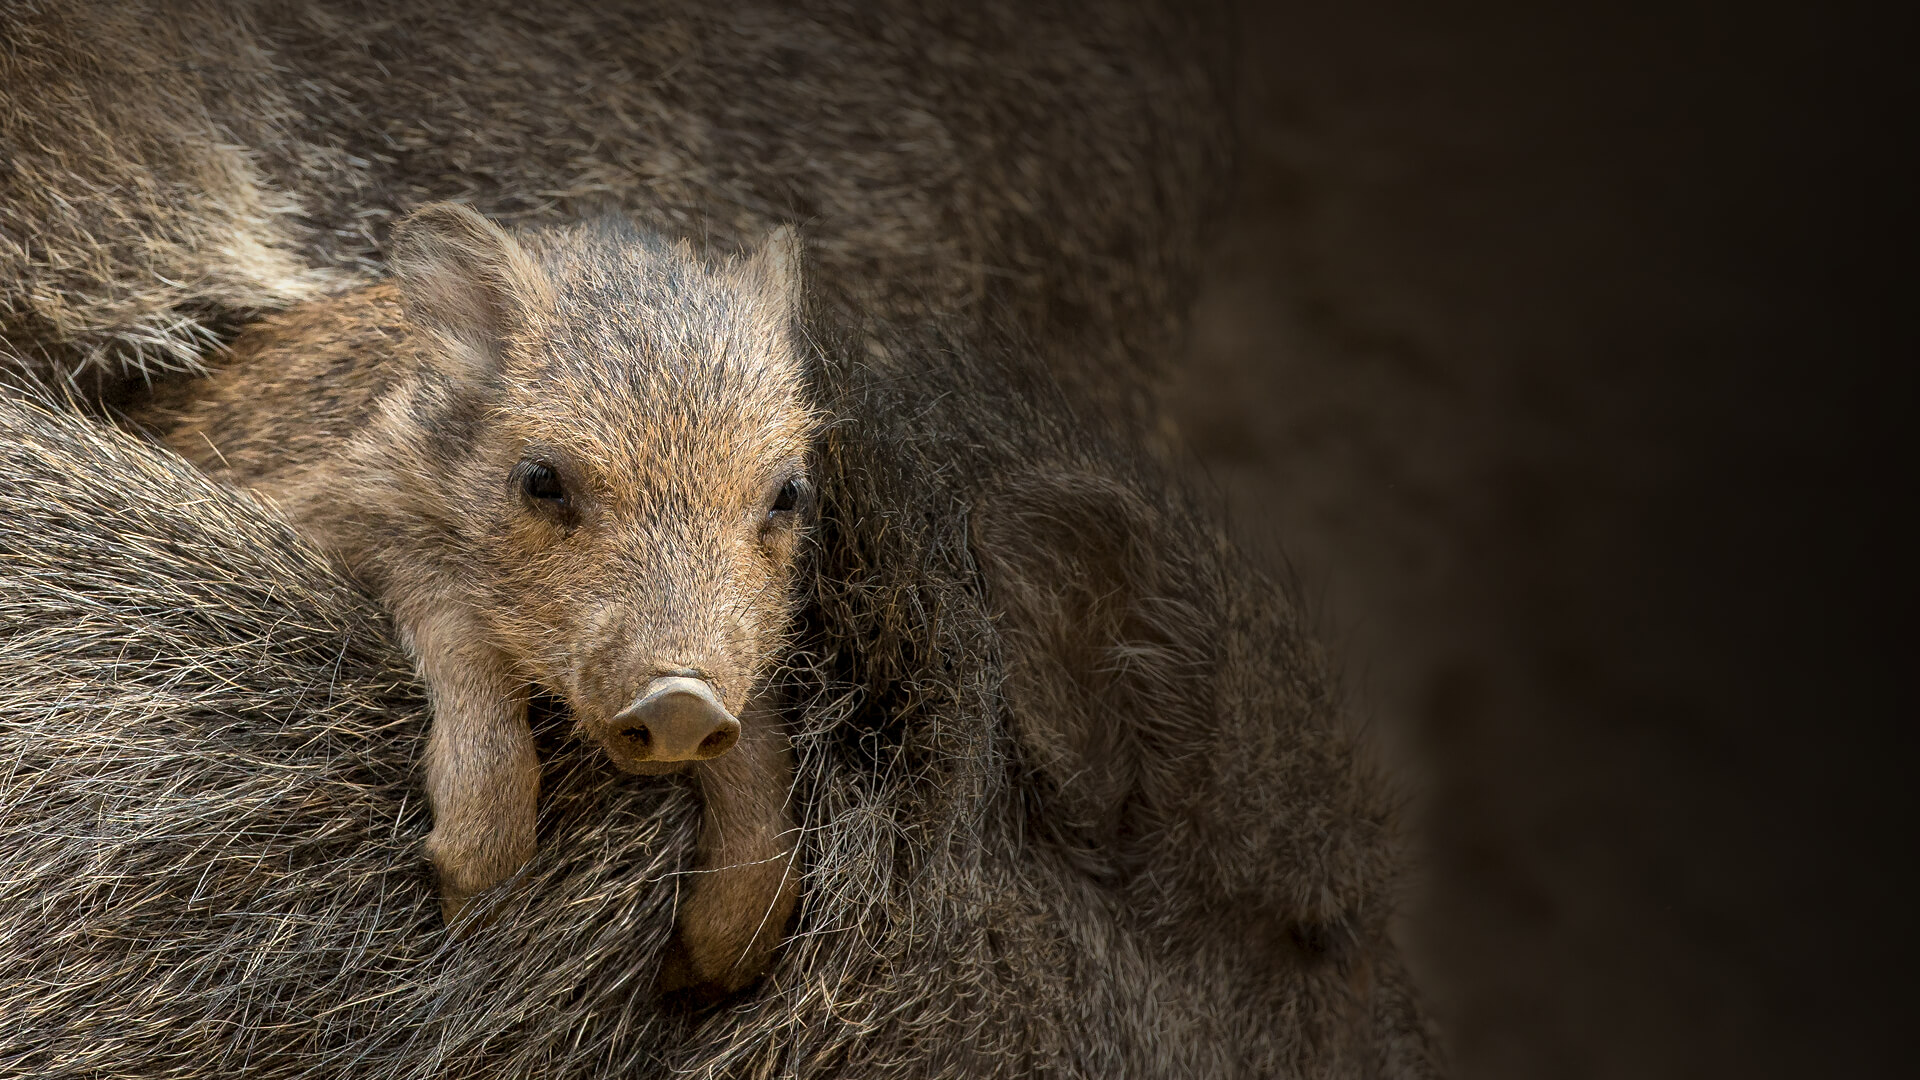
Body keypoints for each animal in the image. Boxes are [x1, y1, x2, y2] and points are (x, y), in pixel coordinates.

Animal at [128, 202, 816, 994]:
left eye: (789, 493)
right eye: (542, 480)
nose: (682, 700)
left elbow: (758, 737)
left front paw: (719, 956)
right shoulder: (336, 512)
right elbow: (464, 627)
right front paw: (472, 898)